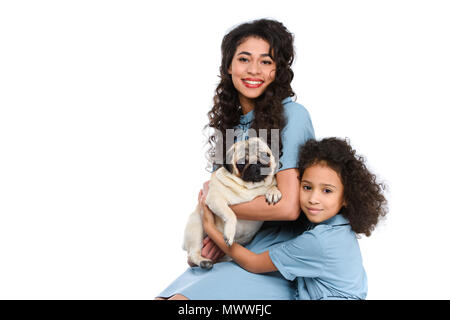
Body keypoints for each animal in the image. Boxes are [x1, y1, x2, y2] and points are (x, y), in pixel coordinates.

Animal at [180, 136, 280, 268]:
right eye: (242, 163)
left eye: (265, 155)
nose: (255, 164)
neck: (250, 187)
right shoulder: (215, 198)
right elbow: (230, 214)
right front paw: (229, 233)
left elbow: (272, 185)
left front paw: (273, 192)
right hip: (196, 227)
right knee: (192, 253)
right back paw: (203, 262)